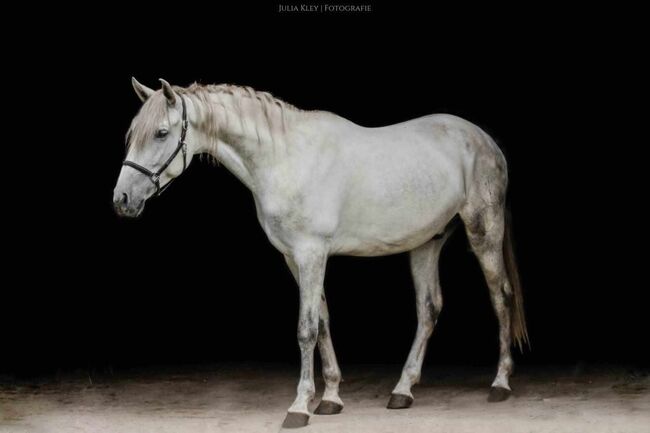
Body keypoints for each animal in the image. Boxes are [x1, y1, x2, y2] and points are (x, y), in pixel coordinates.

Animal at [112, 78, 528, 428]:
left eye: (161, 132)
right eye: (133, 134)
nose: (122, 200)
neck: (286, 159)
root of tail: (484, 139)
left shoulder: (311, 254)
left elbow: (306, 328)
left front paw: (299, 407)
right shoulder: (295, 259)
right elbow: (324, 322)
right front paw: (330, 398)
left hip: (485, 232)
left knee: (501, 297)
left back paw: (500, 383)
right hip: (427, 243)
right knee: (429, 309)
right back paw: (402, 390)